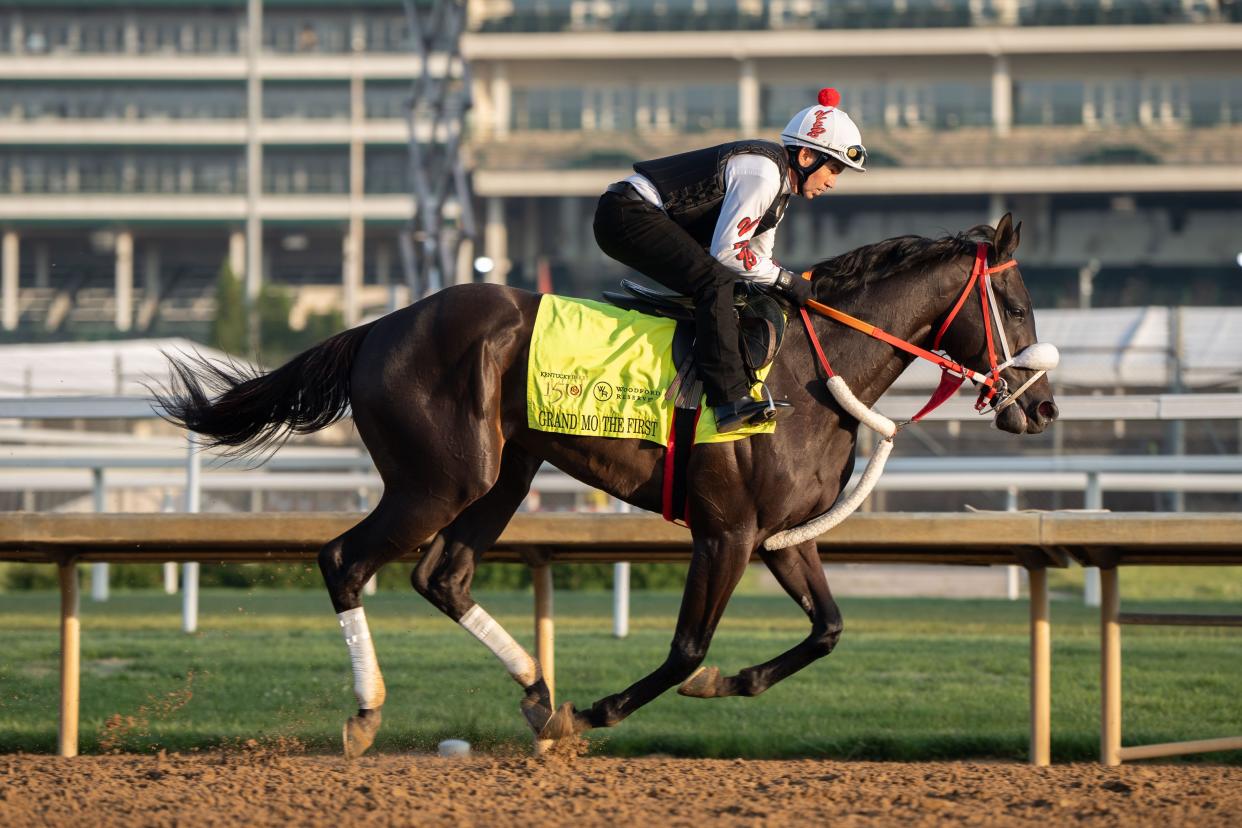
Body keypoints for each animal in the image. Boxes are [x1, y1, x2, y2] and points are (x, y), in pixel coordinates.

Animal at [155, 213, 1058, 759]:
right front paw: (600, 711)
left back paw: (534, 689)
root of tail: (378, 324)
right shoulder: (725, 532)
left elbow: (829, 629)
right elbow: (687, 647)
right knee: (347, 561)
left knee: (442, 576)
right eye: (1015, 302)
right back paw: (370, 711)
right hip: (439, 479)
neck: (807, 371)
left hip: (504, 474)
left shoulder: (774, 537)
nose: (1044, 406)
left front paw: (730, 683)